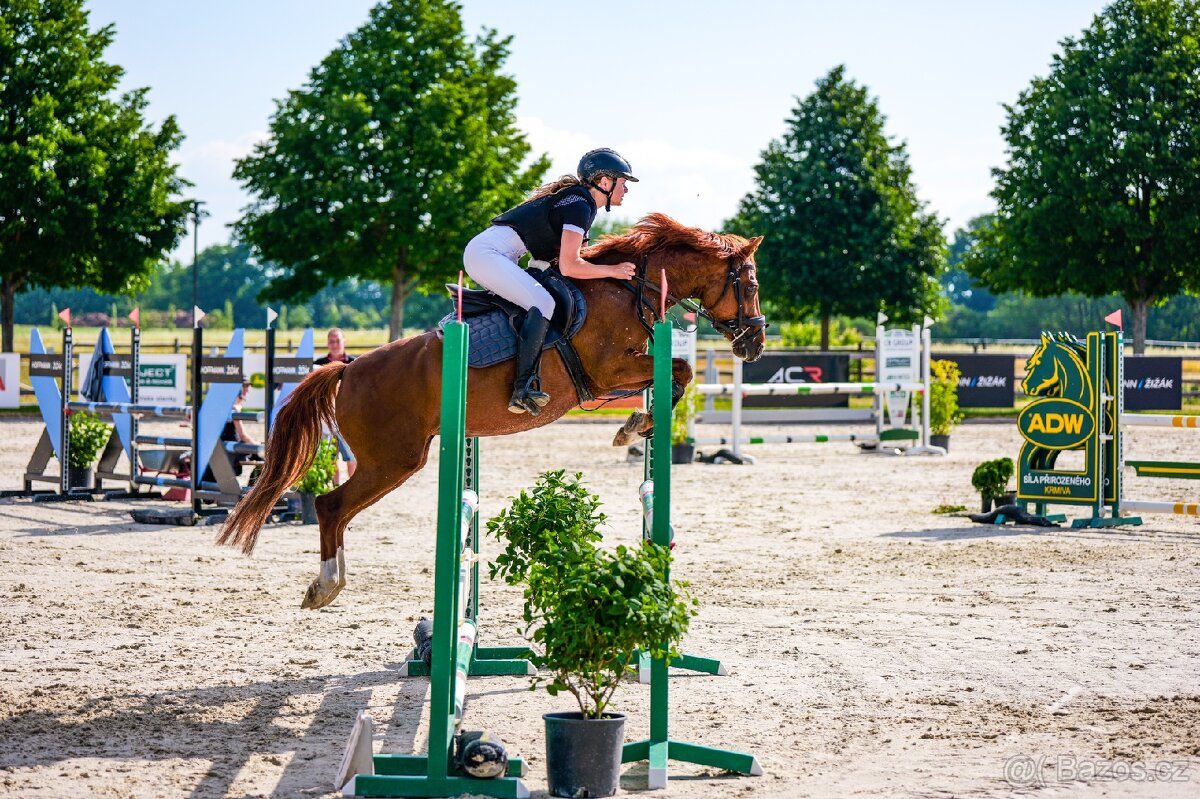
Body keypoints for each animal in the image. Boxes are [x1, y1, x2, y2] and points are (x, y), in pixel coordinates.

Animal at [217, 213, 766, 609]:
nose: (755, 344)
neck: (630, 289)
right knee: (331, 506)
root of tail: (348, 370)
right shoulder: (608, 370)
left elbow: (676, 374)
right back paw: (326, 585)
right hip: (393, 460)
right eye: (752, 285)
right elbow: (680, 370)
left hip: (398, 459)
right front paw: (636, 425)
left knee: (338, 509)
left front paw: (635, 424)